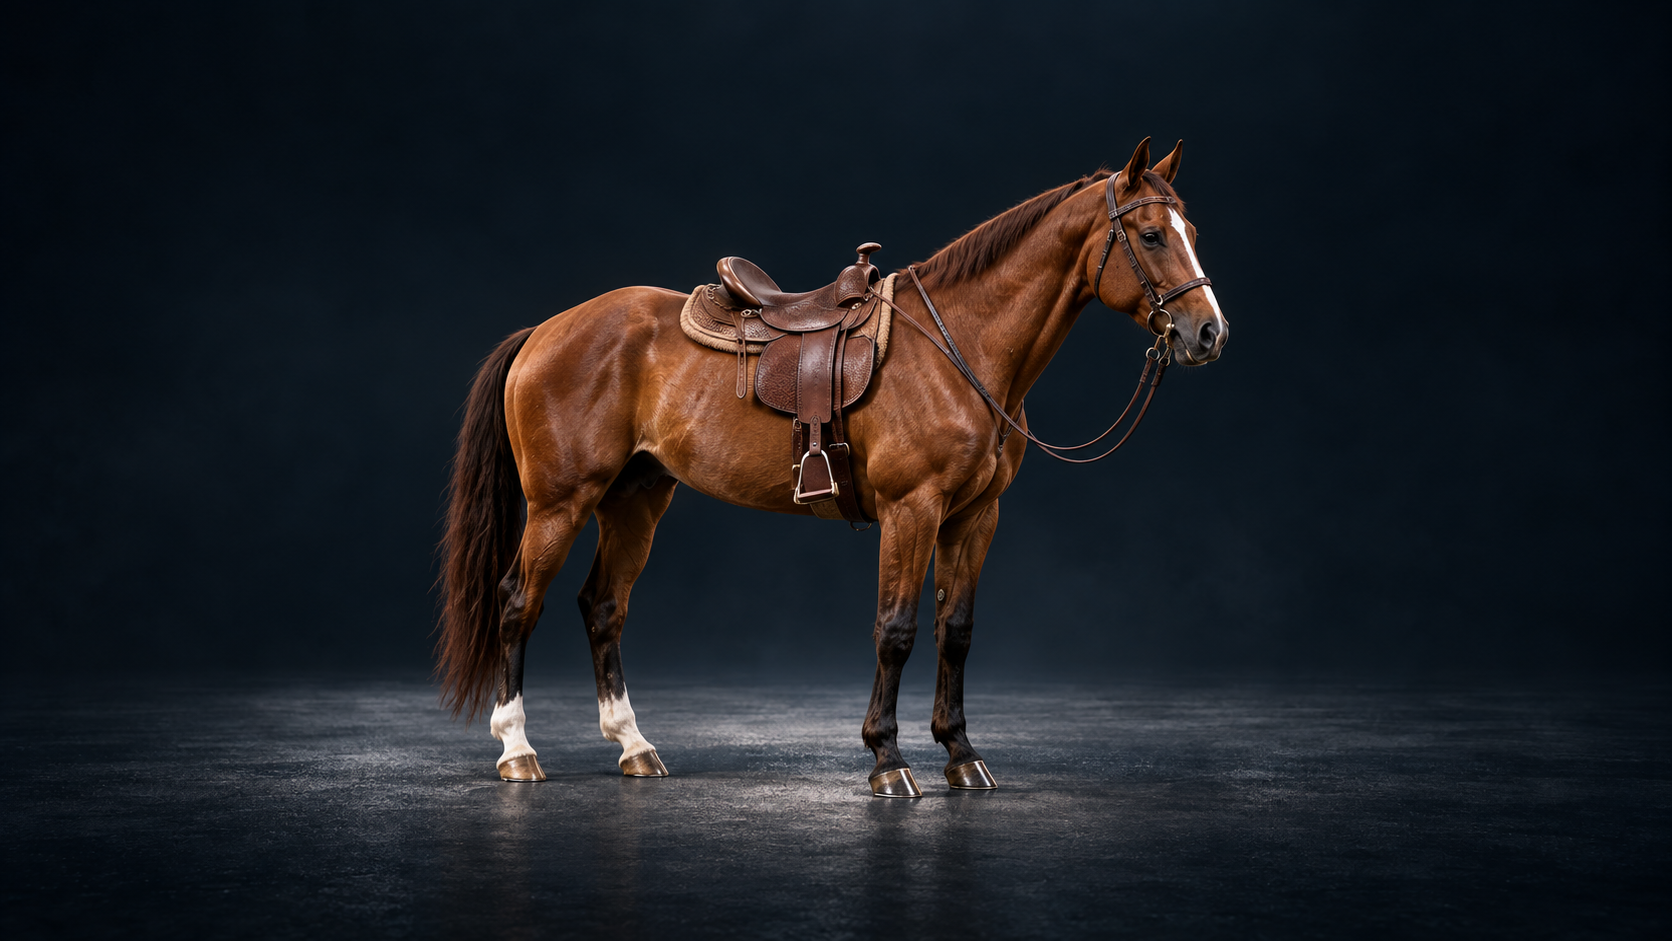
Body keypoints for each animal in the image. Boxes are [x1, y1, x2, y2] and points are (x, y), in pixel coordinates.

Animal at [435, 137, 1229, 797]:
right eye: (1151, 235)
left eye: (1192, 235)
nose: (1209, 332)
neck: (959, 346)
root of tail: (545, 330)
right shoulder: (913, 508)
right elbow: (896, 629)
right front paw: (888, 760)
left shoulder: (975, 516)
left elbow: (957, 630)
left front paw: (962, 755)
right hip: (561, 503)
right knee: (518, 602)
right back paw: (517, 751)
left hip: (635, 499)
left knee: (603, 607)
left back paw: (634, 746)